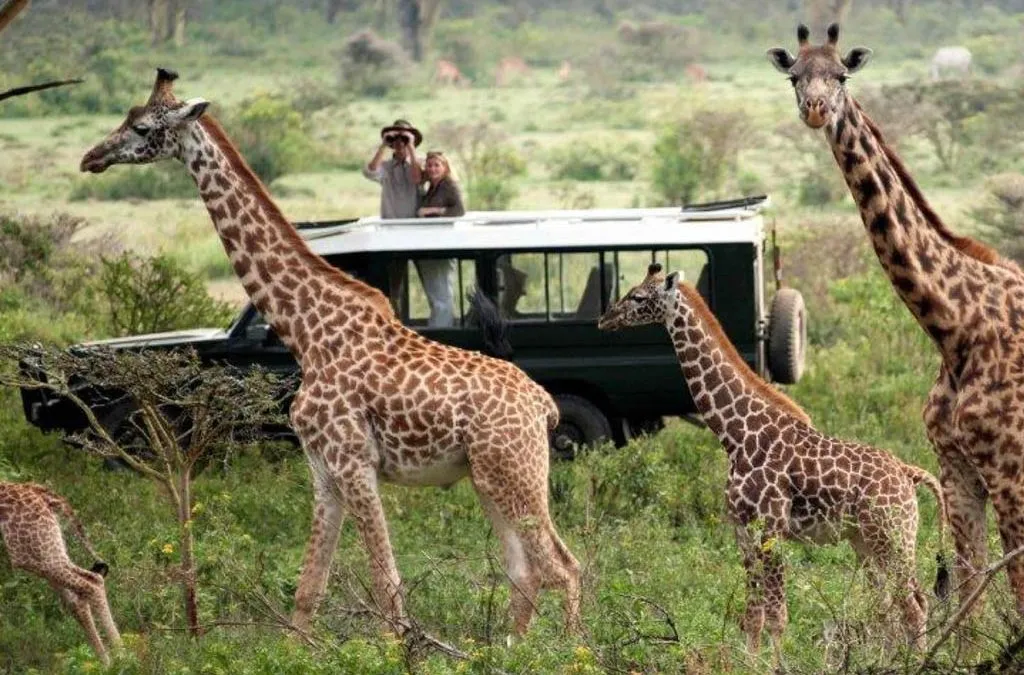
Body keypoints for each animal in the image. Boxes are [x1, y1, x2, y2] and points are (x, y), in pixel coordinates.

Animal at [0, 482, 121, 666]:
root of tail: (35, 489)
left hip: (30, 553)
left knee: (91, 582)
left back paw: (123, 657)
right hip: (47, 550)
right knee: (77, 599)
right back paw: (107, 663)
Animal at [79, 69, 581, 638]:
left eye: (141, 127)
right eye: (126, 118)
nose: (91, 157)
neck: (307, 334)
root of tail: (543, 405)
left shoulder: (353, 461)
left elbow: (387, 586)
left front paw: (398, 648)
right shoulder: (322, 472)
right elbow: (307, 592)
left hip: (515, 471)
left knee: (563, 566)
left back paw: (571, 650)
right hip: (488, 475)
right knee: (525, 569)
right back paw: (509, 648)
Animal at [598, 264, 949, 658]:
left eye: (639, 297)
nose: (604, 319)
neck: (736, 435)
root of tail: (908, 473)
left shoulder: (773, 527)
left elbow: (778, 616)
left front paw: (777, 664)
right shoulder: (742, 529)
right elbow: (753, 615)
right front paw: (750, 662)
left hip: (894, 536)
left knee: (913, 605)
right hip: (865, 540)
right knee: (890, 605)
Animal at [767, 23, 1024, 616]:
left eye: (842, 75)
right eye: (795, 76)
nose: (816, 110)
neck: (955, 327)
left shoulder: (1009, 473)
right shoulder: (956, 473)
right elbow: (969, 597)